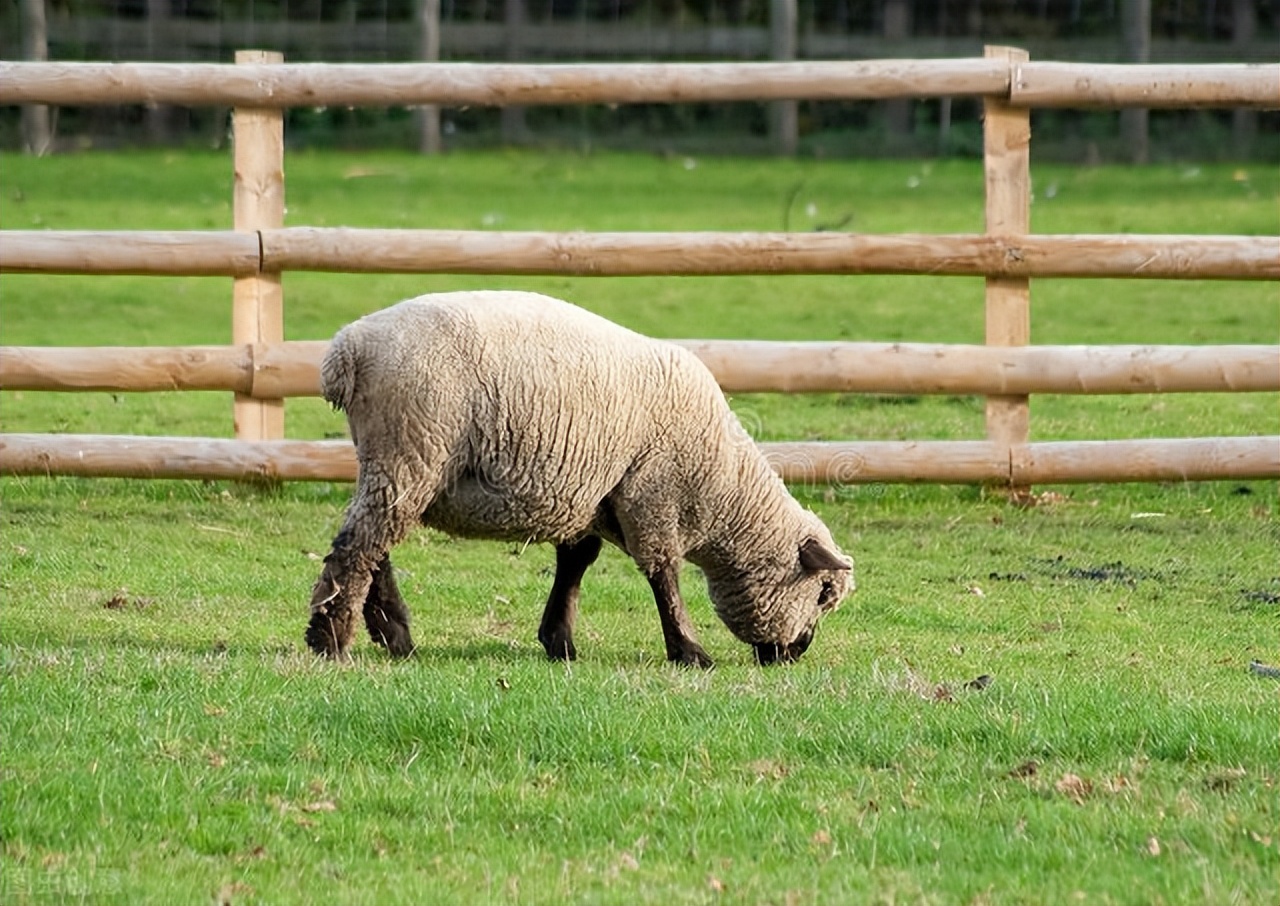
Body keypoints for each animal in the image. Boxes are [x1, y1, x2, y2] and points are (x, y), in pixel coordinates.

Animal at [304, 290, 855, 665]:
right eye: (823, 593)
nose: (797, 652)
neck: (724, 493)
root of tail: (348, 350)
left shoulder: (593, 495)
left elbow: (576, 562)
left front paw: (560, 640)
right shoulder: (651, 493)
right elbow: (664, 573)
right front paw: (688, 650)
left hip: (393, 458)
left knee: (372, 542)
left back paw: (392, 634)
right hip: (414, 445)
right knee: (360, 545)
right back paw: (331, 641)